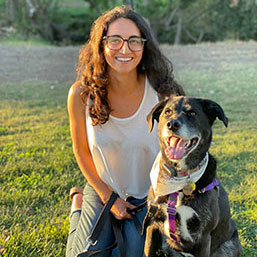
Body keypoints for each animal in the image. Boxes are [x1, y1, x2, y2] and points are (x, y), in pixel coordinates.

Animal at [143, 96, 241, 256]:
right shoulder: (153, 225)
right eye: (167, 112)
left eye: (192, 113)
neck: (178, 180)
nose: (172, 124)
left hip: (230, 245)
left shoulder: (203, 237)